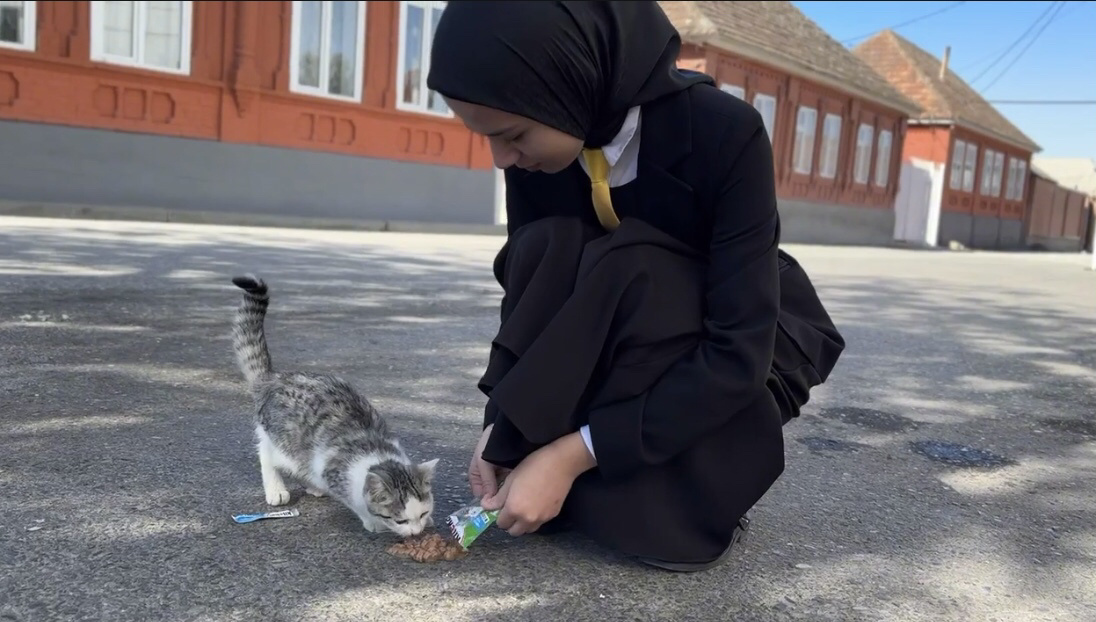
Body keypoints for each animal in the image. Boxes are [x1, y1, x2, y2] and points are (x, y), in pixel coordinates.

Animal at [230, 274, 439, 538]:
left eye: (422, 513)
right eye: (400, 520)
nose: (416, 533)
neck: (376, 453)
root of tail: (275, 378)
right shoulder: (334, 474)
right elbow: (355, 503)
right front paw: (373, 522)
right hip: (285, 443)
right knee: (267, 453)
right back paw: (276, 488)